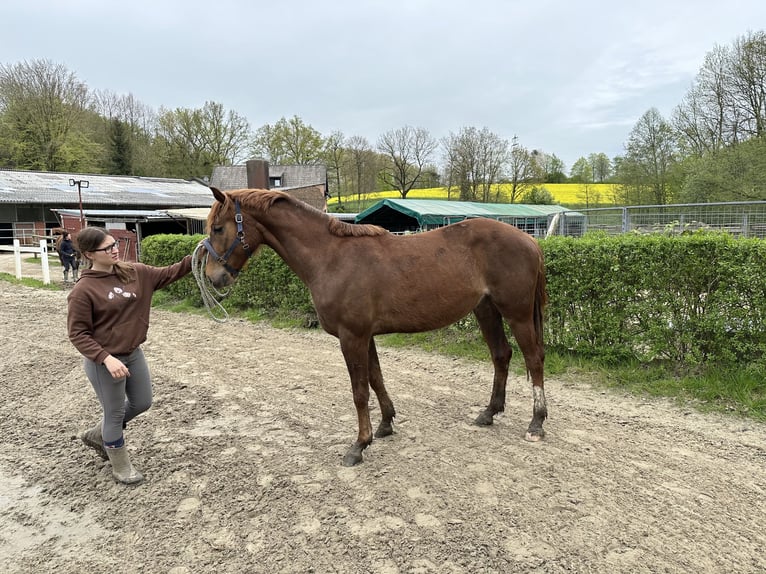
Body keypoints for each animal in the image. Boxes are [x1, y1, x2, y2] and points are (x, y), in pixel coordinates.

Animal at [204, 189, 548, 468]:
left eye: (218, 227)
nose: (213, 277)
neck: (331, 257)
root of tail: (529, 239)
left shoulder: (352, 336)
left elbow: (359, 391)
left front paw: (358, 445)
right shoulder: (365, 336)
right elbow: (376, 379)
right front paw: (385, 425)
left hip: (516, 313)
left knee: (533, 359)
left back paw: (536, 423)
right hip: (486, 309)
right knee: (501, 355)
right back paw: (489, 413)